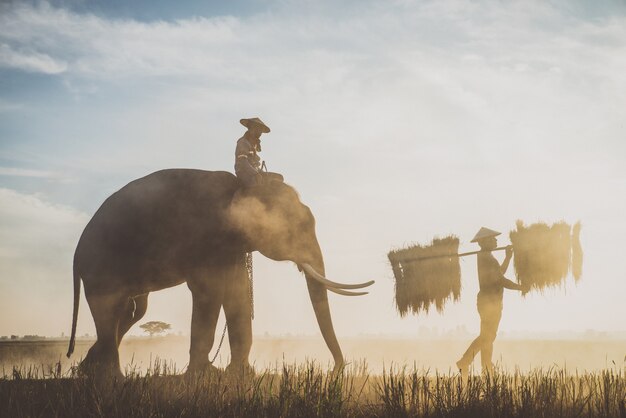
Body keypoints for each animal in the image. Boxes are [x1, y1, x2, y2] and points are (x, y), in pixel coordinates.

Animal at [66, 168, 372, 378]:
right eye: (295, 230)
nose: (334, 371)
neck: (243, 187)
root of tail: (77, 252)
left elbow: (237, 293)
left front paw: (241, 375)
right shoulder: (204, 238)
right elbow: (210, 291)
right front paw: (204, 376)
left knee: (132, 311)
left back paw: (86, 371)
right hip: (102, 263)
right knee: (112, 309)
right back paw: (112, 378)